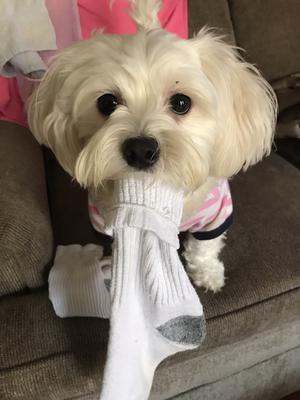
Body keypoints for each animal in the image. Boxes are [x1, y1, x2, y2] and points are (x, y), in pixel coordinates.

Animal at [27, 1, 276, 292]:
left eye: (181, 103)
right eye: (107, 103)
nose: (140, 150)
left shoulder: (216, 212)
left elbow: (205, 246)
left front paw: (207, 273)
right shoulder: (105, 220)